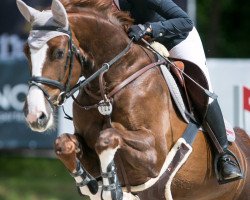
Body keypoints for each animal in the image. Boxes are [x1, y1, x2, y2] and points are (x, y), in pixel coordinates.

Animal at [18, 0, 250, 199]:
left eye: (58, 52)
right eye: (26, 52)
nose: (35, 115)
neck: (110, 85)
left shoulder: (154, 155)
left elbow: (108, 136)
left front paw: (112, 187)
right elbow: (64, 144)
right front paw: (91, 185)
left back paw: (228, 165)